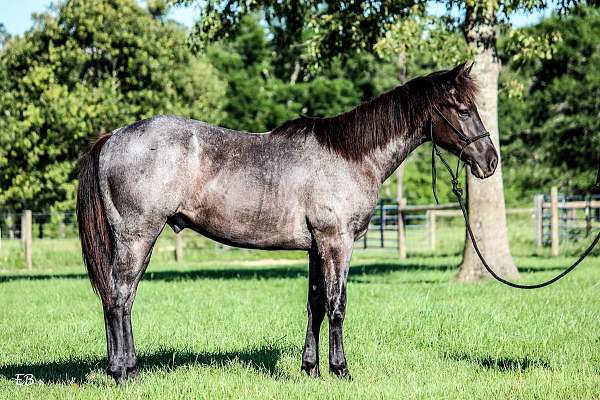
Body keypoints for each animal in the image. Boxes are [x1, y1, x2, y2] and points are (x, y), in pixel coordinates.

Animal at [76, 63, 496, 384]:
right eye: (462, 108)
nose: (490, 160)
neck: (350, 156)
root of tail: (112, 138)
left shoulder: (316, 248)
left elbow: (316, 305)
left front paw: (311, 369)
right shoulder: (337, 243)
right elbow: (337, 304)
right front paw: (341, 370)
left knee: (121, 299)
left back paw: (128, 368)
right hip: (137, 237)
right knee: (119, 299)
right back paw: (122, 373)